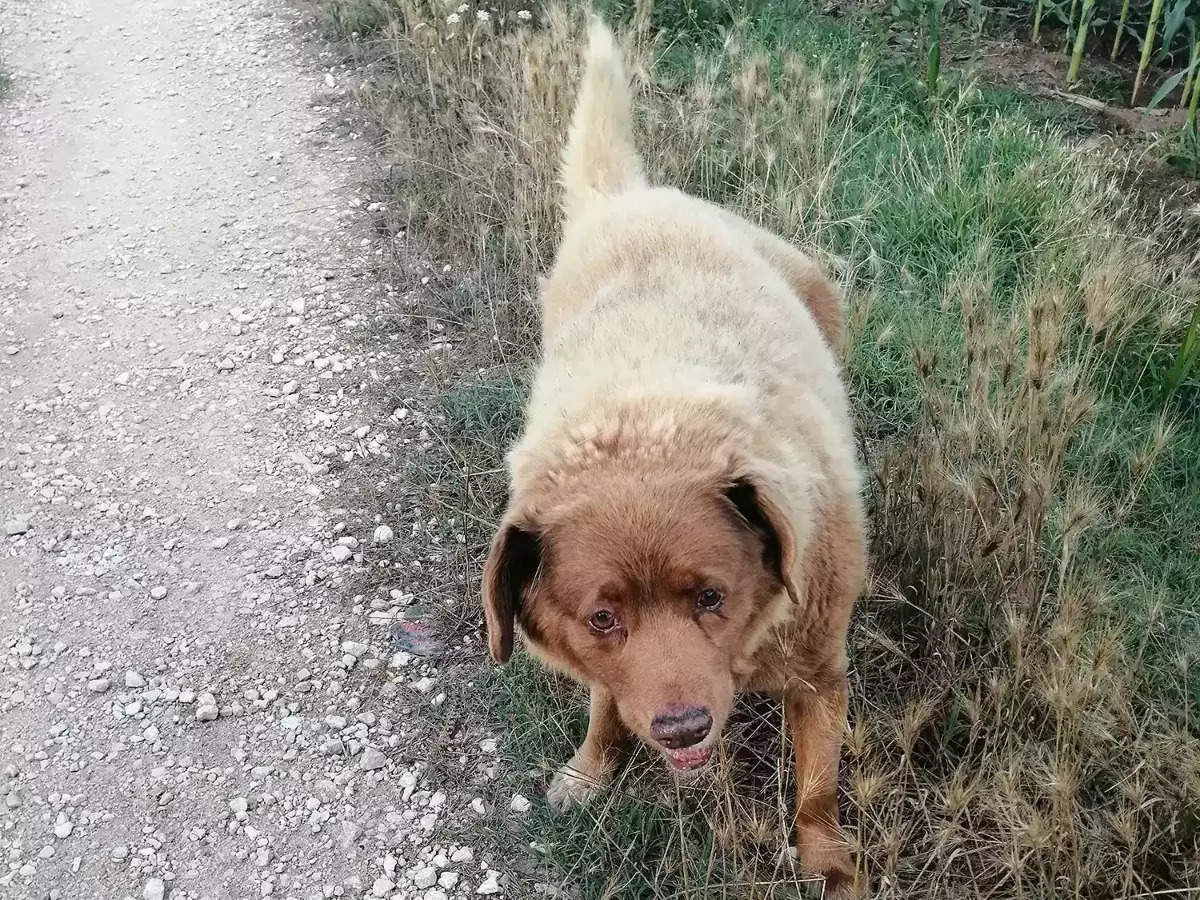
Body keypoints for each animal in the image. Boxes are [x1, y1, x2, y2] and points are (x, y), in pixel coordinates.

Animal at [477, 19, 864, 897]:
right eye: (603, 617)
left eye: (712, 597)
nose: (683, 726)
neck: (648, 427)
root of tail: (632, 197)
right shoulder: (605, 661)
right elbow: (603, 702)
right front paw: (591, 768)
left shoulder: (820, 671)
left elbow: (818, 789)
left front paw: (827, 862)